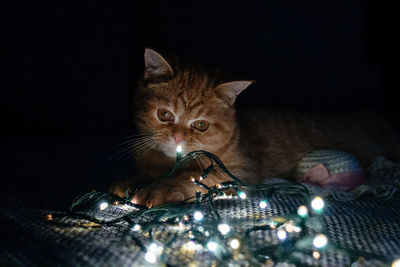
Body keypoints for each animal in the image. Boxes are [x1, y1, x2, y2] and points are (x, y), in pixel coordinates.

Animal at [109, 48, 400, 207]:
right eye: (164, 114)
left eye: (200, 125)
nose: (178, 137)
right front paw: (133, 179)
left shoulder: (241, 171)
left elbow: (189, 175)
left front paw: (160, 187)